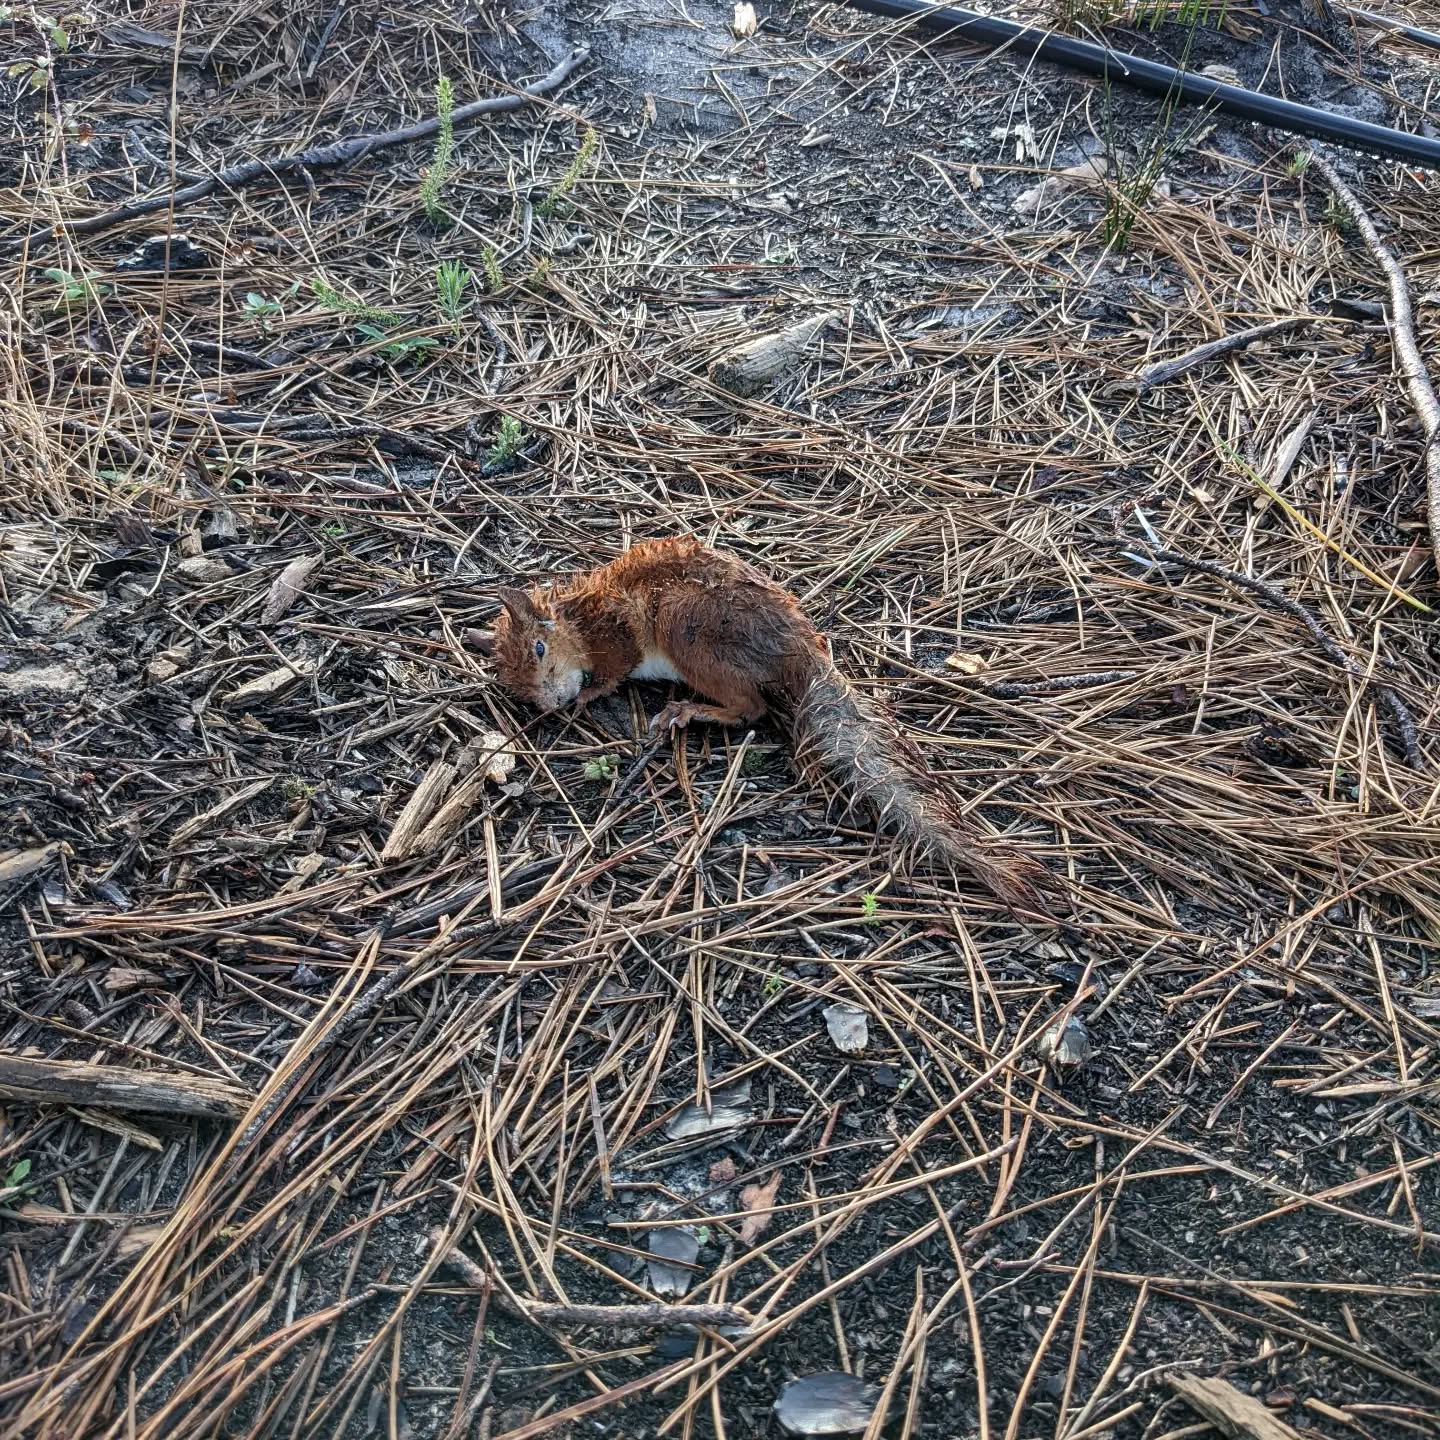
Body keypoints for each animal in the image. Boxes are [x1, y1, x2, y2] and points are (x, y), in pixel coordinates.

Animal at [472, 536, 1050, 911]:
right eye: (516, 685)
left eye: (539, 649)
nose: (550, 705)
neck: (577, 619)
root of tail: (798, 651)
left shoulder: (616, 636)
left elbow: (614, 671)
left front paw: (588, 692)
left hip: (686, 627)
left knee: (752, 708)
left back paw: (686, 712)